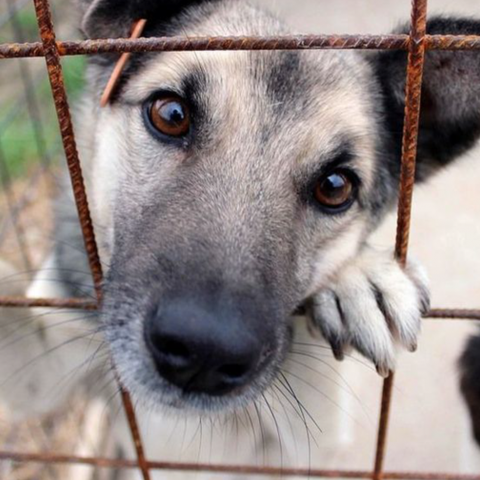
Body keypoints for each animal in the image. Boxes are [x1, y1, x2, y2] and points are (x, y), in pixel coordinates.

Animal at [0, 0, 480, 476]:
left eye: (335, 186)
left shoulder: (305, 449)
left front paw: (357, 276)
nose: (203, 353)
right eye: (170, 115)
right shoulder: (39, 374)